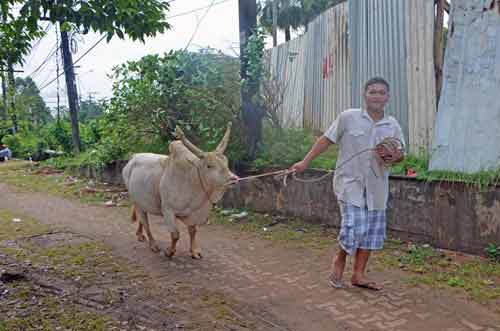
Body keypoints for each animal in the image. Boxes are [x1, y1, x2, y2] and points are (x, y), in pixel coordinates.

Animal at [122, 124, 237, 260]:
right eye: (209, 166)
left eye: (226, 162)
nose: (233, 179)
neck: (193, 181)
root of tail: (133, 157)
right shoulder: (168, 210)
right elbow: (175, 234)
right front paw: (169, 252)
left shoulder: (193, 214)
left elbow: (193, 231)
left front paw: (194, 252)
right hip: (135, 199)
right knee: (146, 223)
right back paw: (153, 244)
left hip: (142, 201)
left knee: (141, 218)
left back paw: (140, 235)